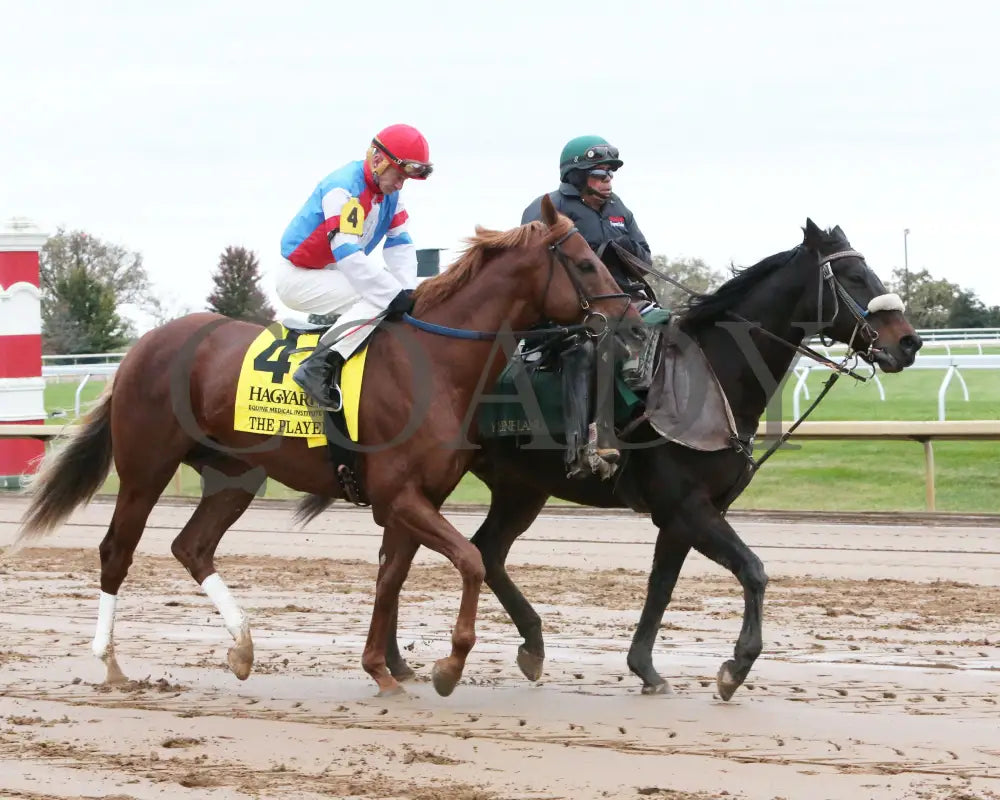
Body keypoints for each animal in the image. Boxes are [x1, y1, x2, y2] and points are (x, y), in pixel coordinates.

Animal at [386, 219, 916, 700]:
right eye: (854, 276)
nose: (909, 342)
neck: (712, 378)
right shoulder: (687, 506)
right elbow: (753, 570)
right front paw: (736, 666)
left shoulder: (688, 515)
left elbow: (662, 586)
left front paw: (645, 667)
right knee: (409, 555)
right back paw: (398, 662)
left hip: (521, 489)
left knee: (484, 552)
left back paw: (523, 647)